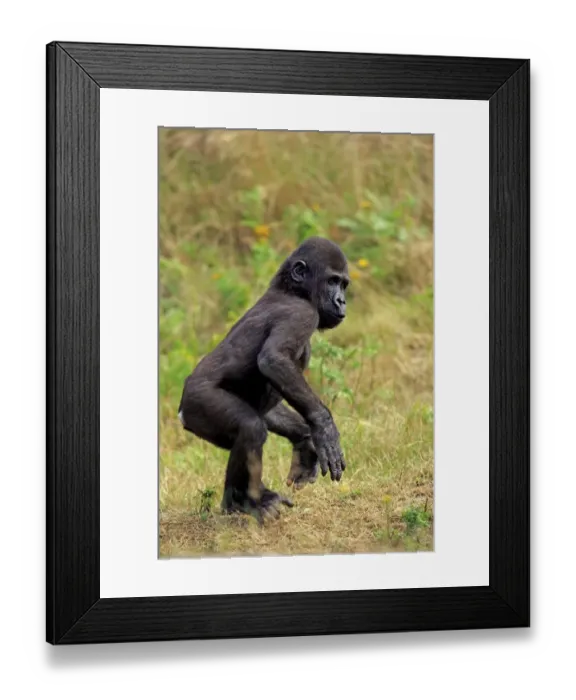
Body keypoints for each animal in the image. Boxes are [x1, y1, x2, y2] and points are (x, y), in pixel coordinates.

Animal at [178, 236, 349, 522]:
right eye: (332, 281)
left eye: (344, 284)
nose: (341, 301)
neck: (291, 290)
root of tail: (181, 413)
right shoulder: (301, 314)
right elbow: (274, 359)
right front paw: (324, 427)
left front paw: (305, 442)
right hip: (197, 405)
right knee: (251, 427)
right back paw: (241, 500)